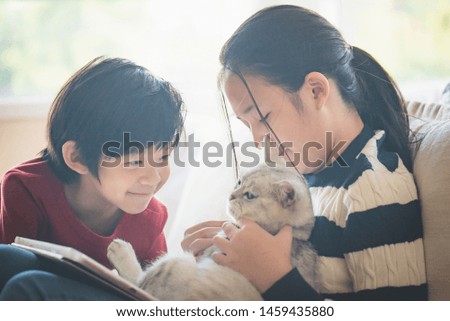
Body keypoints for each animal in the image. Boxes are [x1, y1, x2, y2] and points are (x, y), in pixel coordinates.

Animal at [106, 164, 316, 298]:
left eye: (249, 195)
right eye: (239, 182)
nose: (231, 195)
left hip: (176, 264)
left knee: (137, 282)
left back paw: (121, 250)